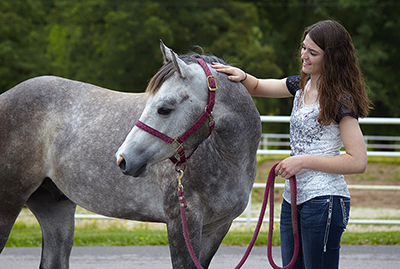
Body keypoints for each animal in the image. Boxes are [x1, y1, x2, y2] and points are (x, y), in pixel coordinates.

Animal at [0, 40, 262, 266]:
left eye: (164, 109)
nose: (123, 159)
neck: (226, 159)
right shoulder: (181, 223)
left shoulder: (217, 228)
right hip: (9, 203)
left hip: (55, 208)